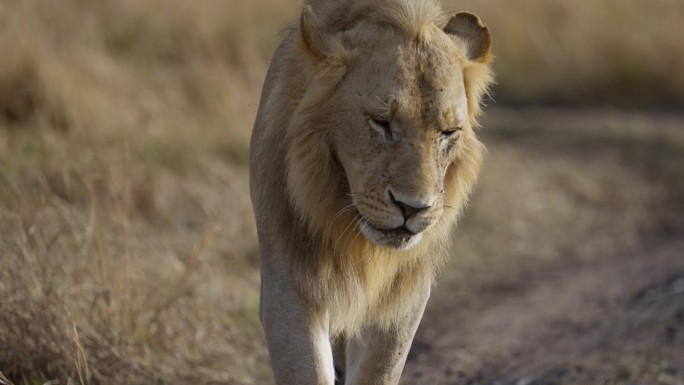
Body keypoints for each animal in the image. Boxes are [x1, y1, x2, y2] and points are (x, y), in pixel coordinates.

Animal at [248, 0, 494, 380]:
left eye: (448, 132)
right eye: (381, 122)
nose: (414, 208)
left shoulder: (405, 290)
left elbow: (381, 368)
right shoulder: (288, 280)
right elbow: (307, 368)